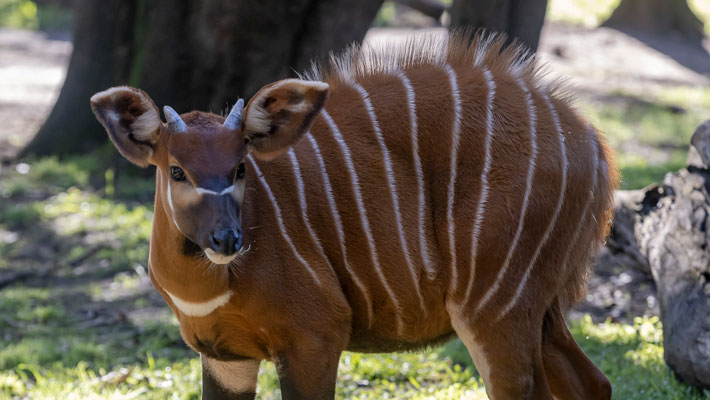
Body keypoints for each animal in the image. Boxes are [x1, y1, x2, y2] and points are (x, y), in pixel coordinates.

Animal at [92, 32, 620, 400]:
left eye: (240, 165)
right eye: (177, 169)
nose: (227, 239)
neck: (208, 291)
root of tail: (593, 144)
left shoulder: (315, 338)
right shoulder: (226, 355)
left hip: (496, 307)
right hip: (538, 309)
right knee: (593, 382)